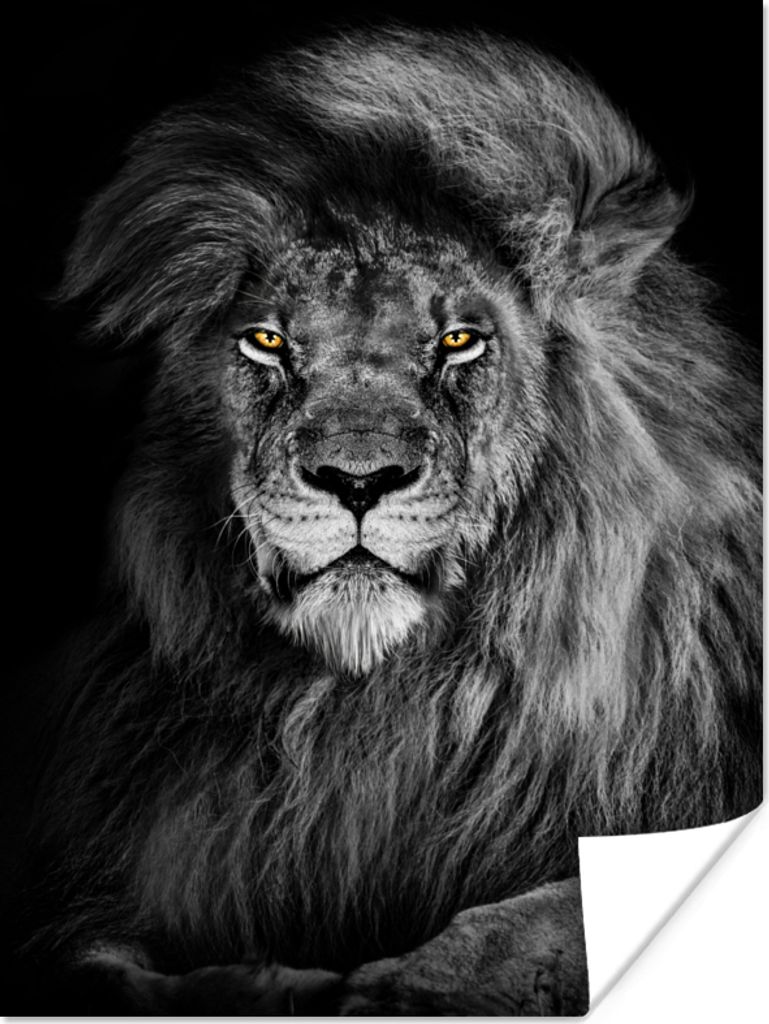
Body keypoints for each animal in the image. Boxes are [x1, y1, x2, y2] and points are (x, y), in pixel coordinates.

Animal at [7, 25, 761, 1016]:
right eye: (268, 341)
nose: (356, 480)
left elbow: (536, 928)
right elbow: (101, 961)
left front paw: (385, 987)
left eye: (458, 341)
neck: (378, 711)